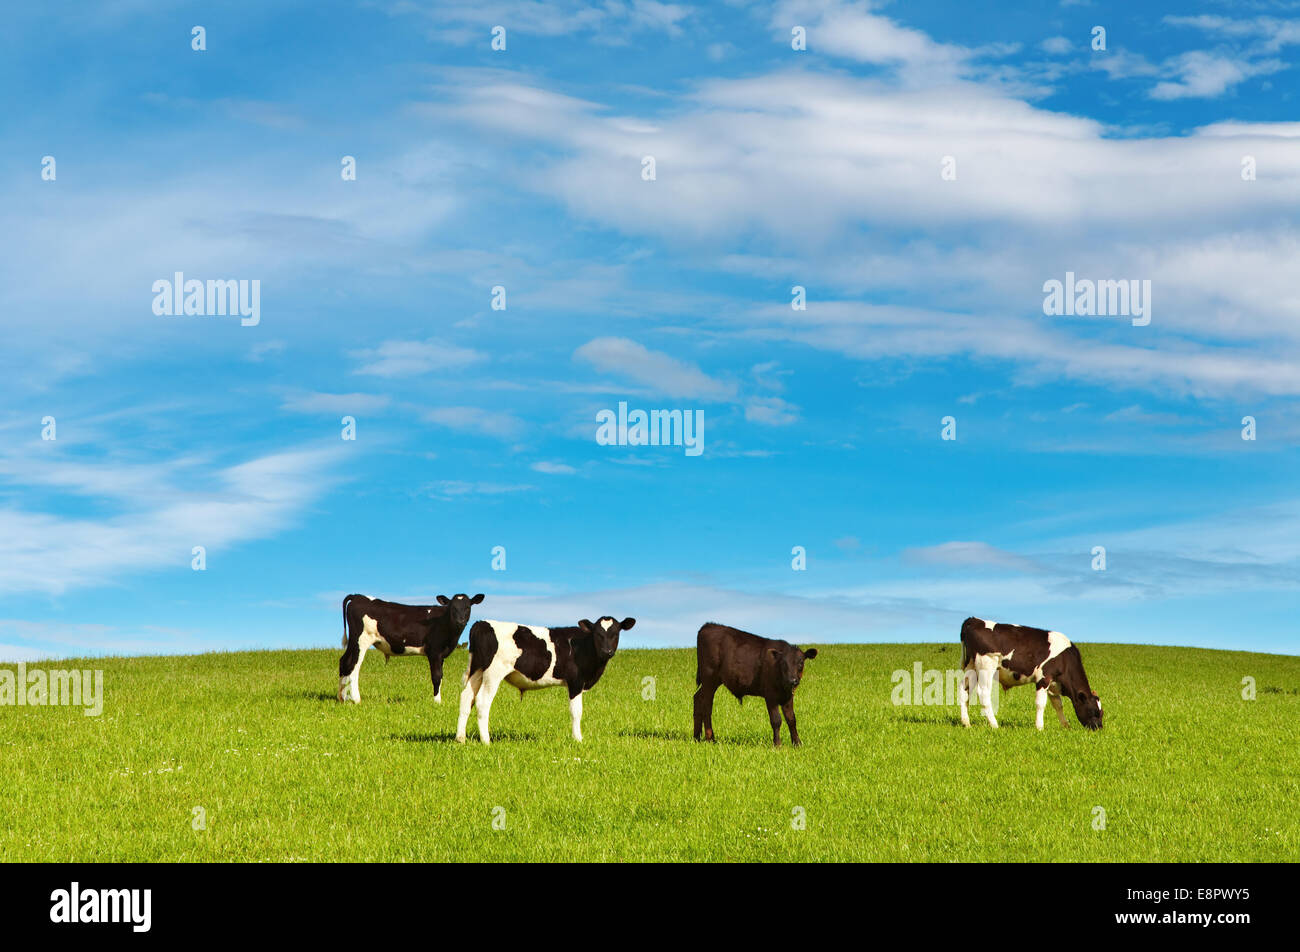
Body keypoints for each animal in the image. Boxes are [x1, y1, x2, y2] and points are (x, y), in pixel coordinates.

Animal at [338, 590, 486, 702]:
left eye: (468, 607)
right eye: (452, 608)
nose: (460, 621)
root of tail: (357, 596)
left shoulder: (442, 654)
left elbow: (441, 676)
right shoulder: (434, 652)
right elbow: (436, 676)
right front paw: (437, 702)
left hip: (353, 641)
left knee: (344, 662)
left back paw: (342, 698)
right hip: (361, 640)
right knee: (353, 666)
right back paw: (356, 699)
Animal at [457, 616, 634, 743]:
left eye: (616, 633)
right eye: (598, 633)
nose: (607, 651)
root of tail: (481, 623)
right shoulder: (576, 682)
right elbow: (576, 711)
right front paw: (578, 739)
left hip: (477, 670)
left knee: (466, 697)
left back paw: (461, 738)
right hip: (493, 673)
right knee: (482, 701)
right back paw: (486, 741)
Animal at [961, 616, 1102, 728]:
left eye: (1102, 712)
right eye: (1094, 711)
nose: (1098, 729)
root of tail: (974, 620)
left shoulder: (1053, 683)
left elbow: (1058, 704)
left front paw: (1066, 726)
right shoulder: (1043, 678)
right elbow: (1041, 704)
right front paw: (1039, 727)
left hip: (970, 666)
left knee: (963, 690)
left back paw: (966, 723)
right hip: (986, 664)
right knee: (983, 693)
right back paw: (994, 725)